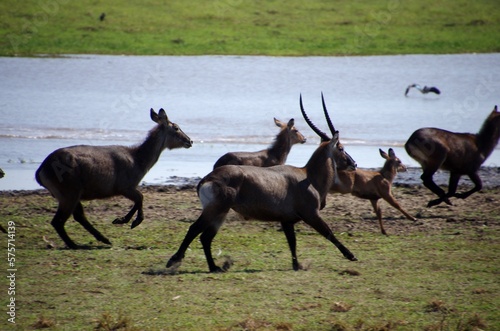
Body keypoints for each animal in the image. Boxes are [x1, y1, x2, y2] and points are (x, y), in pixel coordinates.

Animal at [36, 109, 192, 249]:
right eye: (176, 127)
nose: (190, 141)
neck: (137, 160)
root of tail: (40, 171)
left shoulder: (127, 188)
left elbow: (139, 199)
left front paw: (121, 220)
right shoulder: (125, 187)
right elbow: (140, 198)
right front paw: (128, 221)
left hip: (72, 195)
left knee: (78, 216)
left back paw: (103, 239)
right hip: (69, 193)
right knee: (58, 221)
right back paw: (75, 244)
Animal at [168, 94, 360, 274]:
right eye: (341, 148)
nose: (354, 163)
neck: (308, 176)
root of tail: (208, 178)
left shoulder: (287, 221)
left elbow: (292, 242)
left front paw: (296, 265)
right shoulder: (312, 215)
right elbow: (329, 233)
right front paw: (351, 255)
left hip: (220, 213)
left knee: (206, 237)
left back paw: (214, 267)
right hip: (215, 210)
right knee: (194, 229)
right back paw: (175, 260)